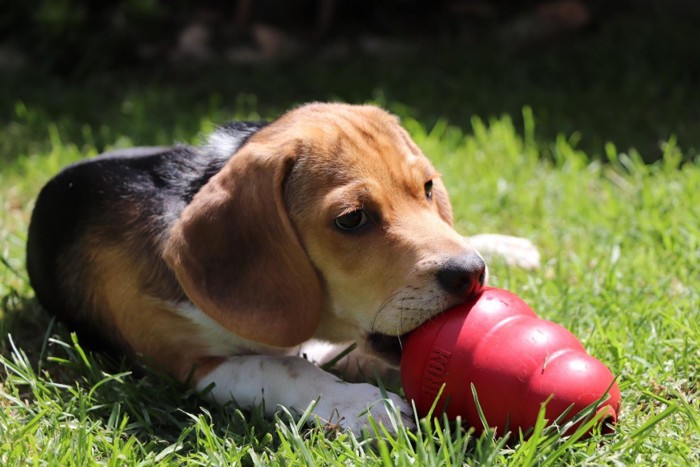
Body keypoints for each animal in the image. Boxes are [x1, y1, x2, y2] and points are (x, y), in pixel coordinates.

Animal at [26, 103, 540, 436]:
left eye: (428, 188)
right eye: (351, 219)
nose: (470, 273)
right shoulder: (189, 363)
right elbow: (282, 369)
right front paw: (366, 406)